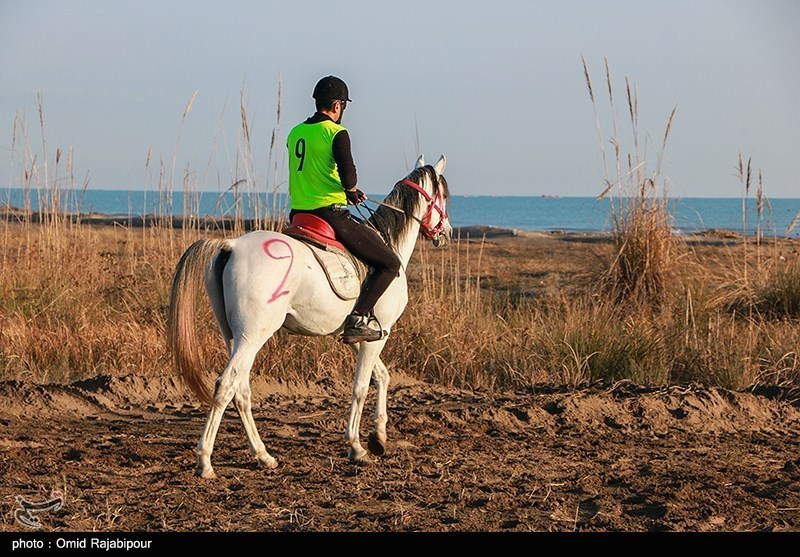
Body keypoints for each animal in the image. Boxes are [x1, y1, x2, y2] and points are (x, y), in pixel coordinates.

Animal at [167, 153, 450, 478]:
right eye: (444, 195)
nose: (447, 232)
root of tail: (232, 245)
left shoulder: (358, 336)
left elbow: (382, 376)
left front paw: (378, 437)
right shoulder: (380, 334)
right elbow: (360, 387)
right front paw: (357, 447)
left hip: (233, 336)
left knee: (241, 389)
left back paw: (263, 456)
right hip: (253, 335)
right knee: (226, 385)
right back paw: (205, 461)